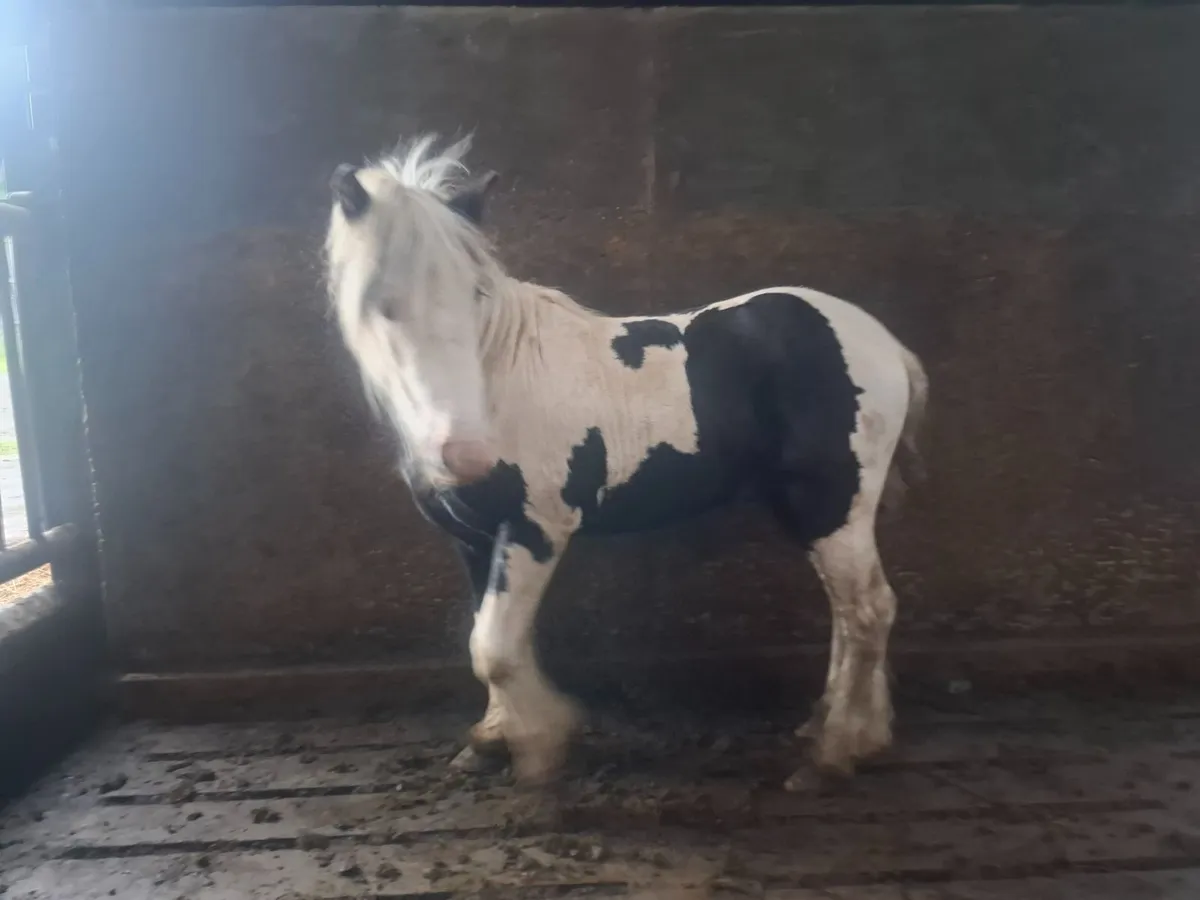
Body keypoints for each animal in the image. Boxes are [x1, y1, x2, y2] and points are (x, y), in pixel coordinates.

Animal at [324, 135, 929, 791]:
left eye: (477, 294)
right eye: (380, 304)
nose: (465, 456)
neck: (502, 381)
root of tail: (883, 344)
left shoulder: (535, 529)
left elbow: (495, 649)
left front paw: (540, 750)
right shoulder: (473, 538)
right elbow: (493, 638)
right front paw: (492, 739)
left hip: (832, 504)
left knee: (868, 611)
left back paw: (833, 754)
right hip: (811, 511)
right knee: (848, 613)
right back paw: (831, 730)